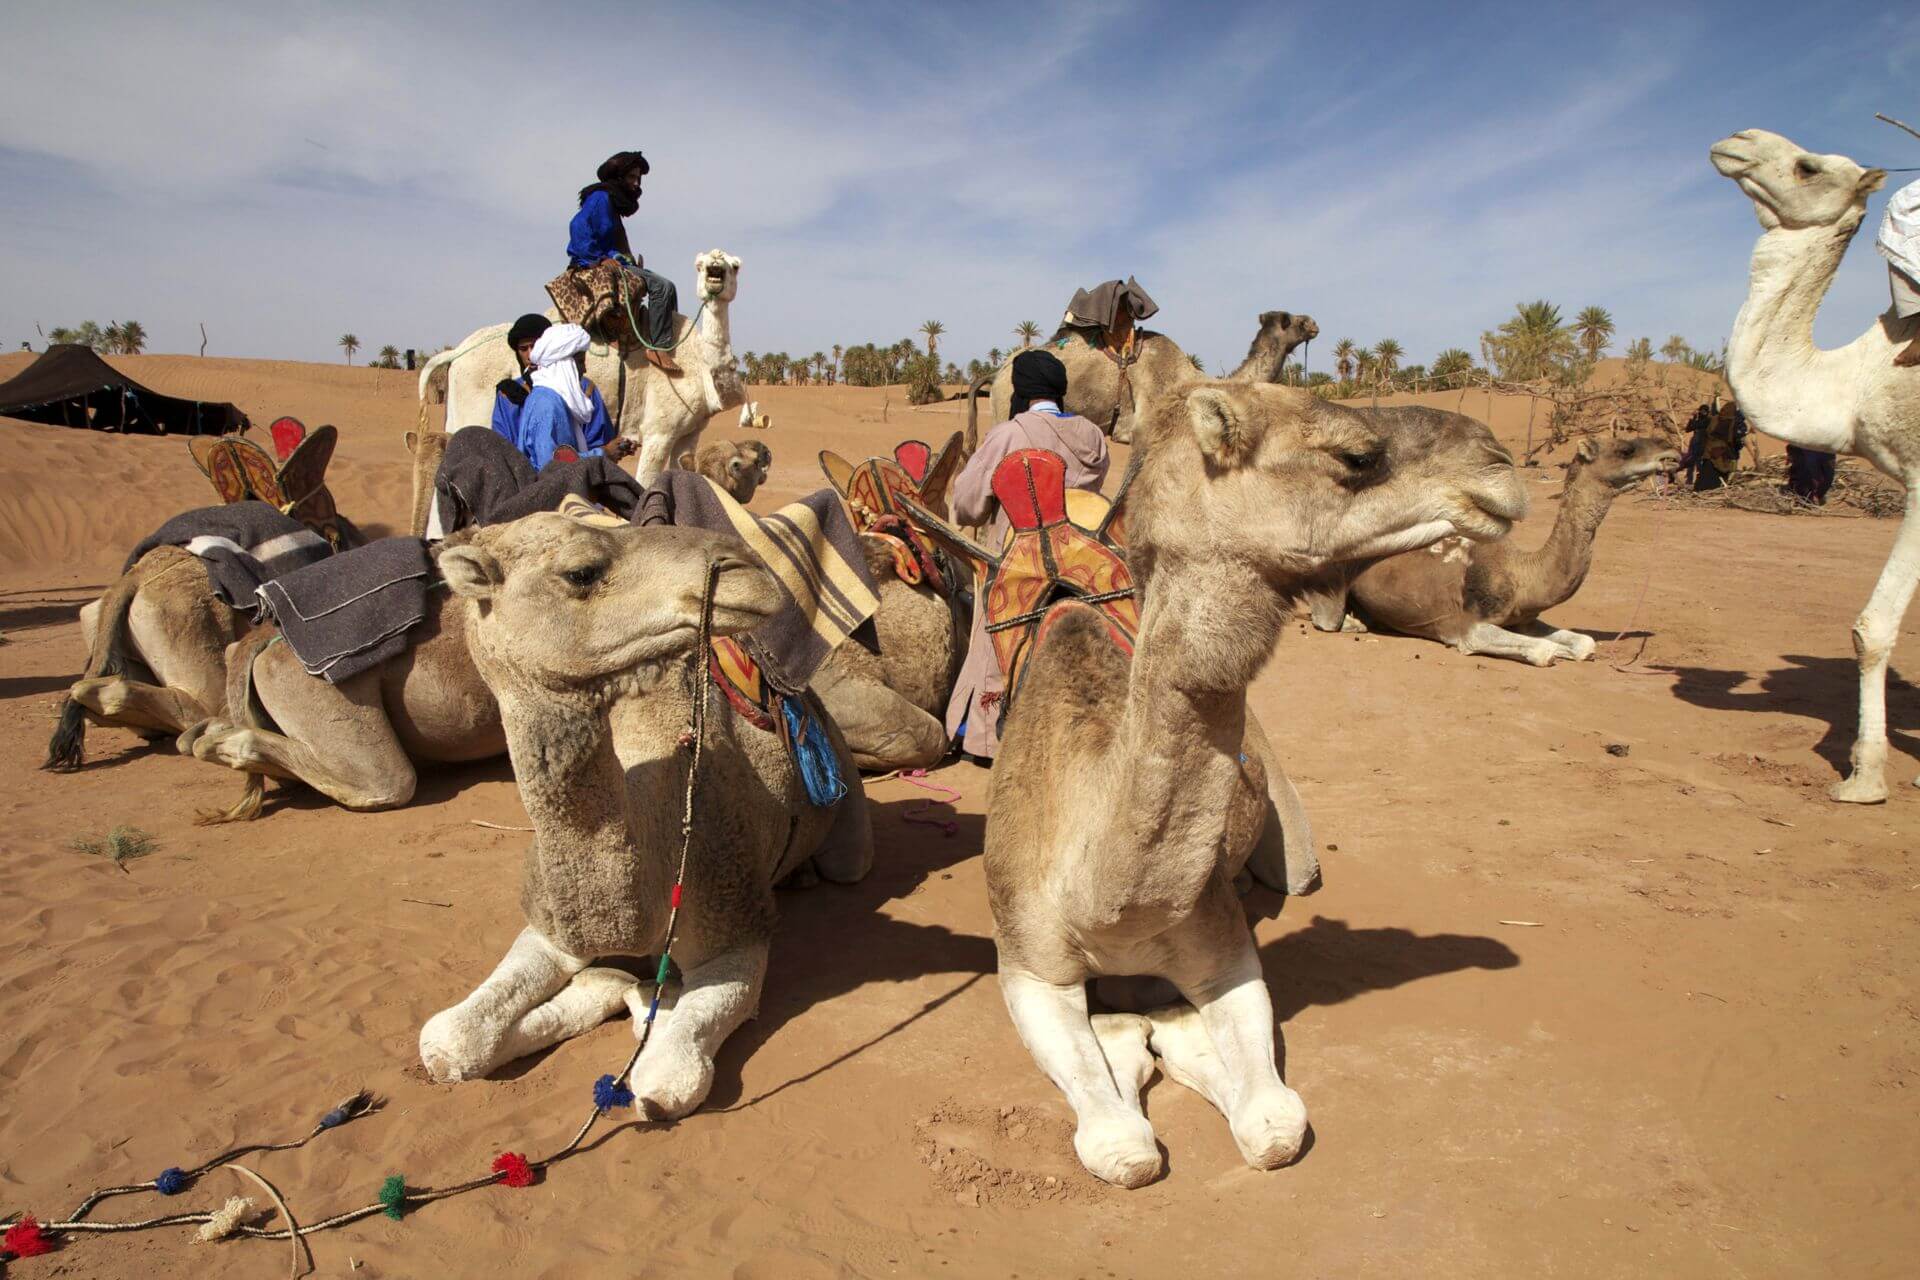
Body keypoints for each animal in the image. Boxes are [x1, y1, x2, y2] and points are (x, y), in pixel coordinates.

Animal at [418, 249, 741, 485]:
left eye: (735, 265)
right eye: (700, 264)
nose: (715, 265)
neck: (696, 363)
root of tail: (458, 352)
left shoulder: (688, 433)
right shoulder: (658, 431)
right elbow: (647, 481)